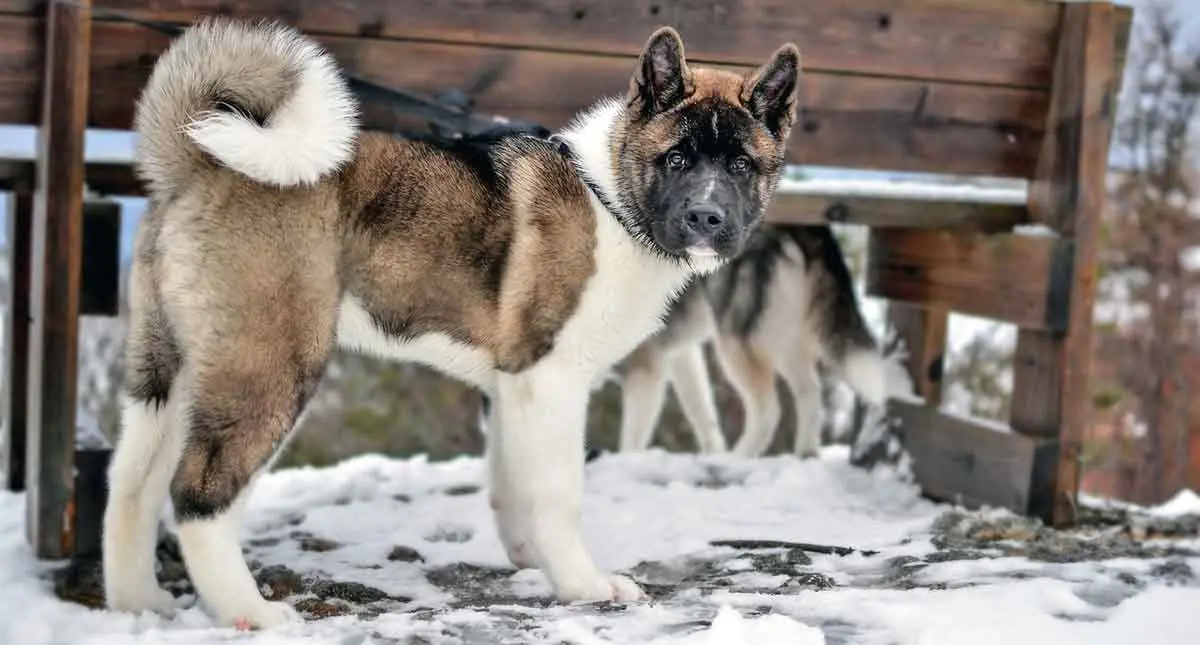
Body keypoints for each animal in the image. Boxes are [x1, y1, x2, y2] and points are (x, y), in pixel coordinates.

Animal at [100, 16, 796, 628]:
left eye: (740, 165)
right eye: (676, 159)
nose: (706, 218)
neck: (611, 201)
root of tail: (198, 163)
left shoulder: (514, 387)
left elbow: (513, 483)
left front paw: (531, 561)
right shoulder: (551, 379)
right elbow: (559, 494)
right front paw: (584, 584)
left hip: (168, 372)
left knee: (131, 485)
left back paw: (141, 605)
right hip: (271, 366)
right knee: (198, 494)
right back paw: (249, 611)